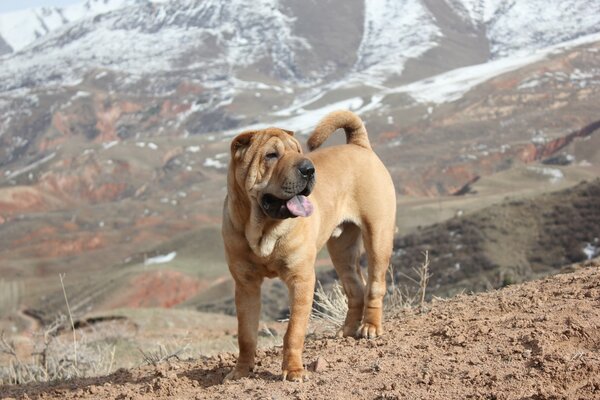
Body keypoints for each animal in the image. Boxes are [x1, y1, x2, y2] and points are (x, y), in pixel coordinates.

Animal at [223, 109, 396, 382]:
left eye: (298, 151)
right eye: (271, 155)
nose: (308, 169)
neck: (263, 229)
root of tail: (359, 146)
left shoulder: (301, 279)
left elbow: (294, 330)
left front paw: (294, 371)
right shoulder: (246, 285)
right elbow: (246, 334)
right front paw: (240, 371)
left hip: (378, 236)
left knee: (375, 285)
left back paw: (370, 327)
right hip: (342, 250)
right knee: (355, 288)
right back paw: (347, 330)